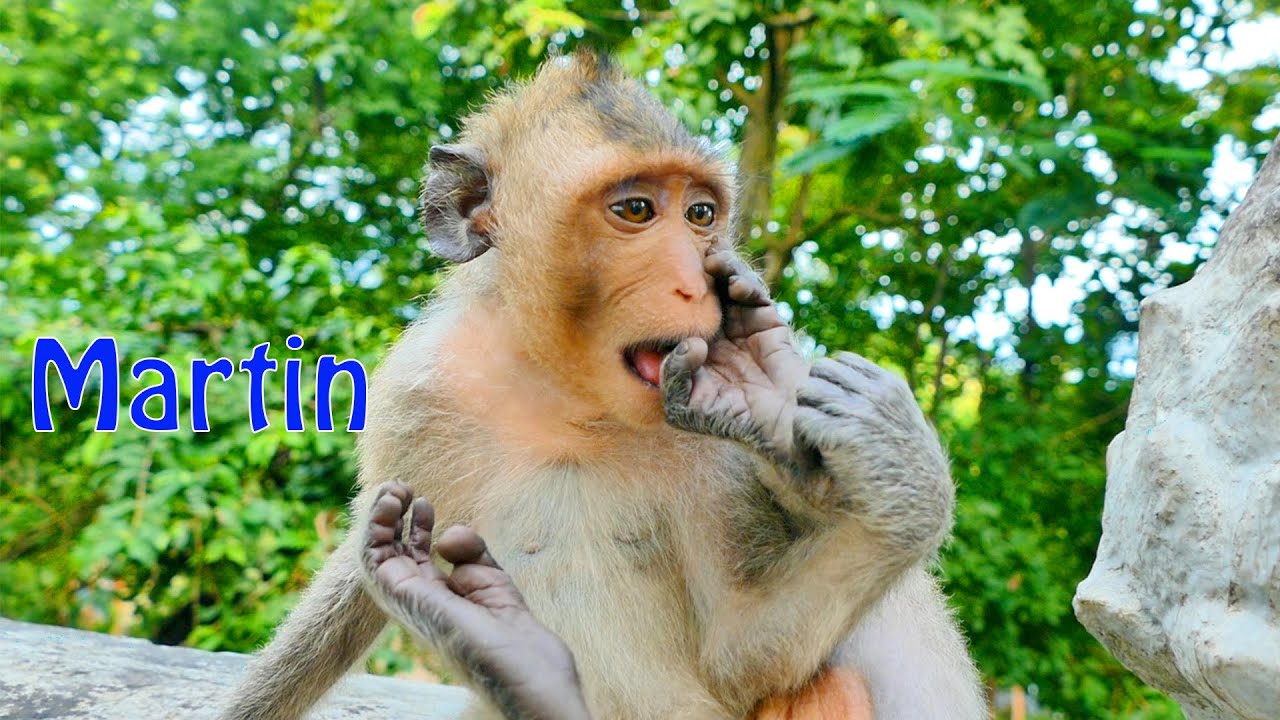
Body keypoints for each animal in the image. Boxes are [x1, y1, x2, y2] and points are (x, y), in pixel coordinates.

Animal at [218, 50, 986, 720]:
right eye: (637, 211)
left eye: (700, 214)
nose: (693, 283)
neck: (569, 398)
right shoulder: (416, 393)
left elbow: (745, 651)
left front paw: (878, 466)